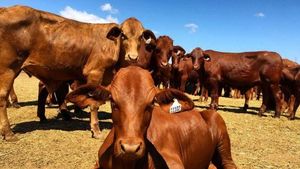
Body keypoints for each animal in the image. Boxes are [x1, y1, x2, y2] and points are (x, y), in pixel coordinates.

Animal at [0, 5, 155, 141]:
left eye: (141, 36)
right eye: (123, 35)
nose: (132, 57)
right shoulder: (95, 73)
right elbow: (94, 103)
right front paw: (96, 130)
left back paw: (43, 117)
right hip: (8, 69)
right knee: (3, 97)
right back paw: (8, 133)